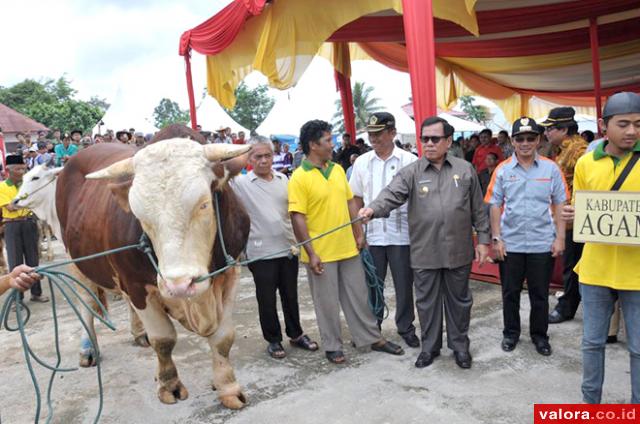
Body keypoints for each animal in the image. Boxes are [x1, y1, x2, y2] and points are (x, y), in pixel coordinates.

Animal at [55, 139, 250, 408]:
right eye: (141, 217)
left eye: (203, 204)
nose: (179, 285)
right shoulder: (136, 286)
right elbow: (163, 339)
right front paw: (169, 384)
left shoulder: (231, 272)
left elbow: (223, 337)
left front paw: (228, 387)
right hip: (76, 261)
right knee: (86, 304)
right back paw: (88, 349)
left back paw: (138, 334)